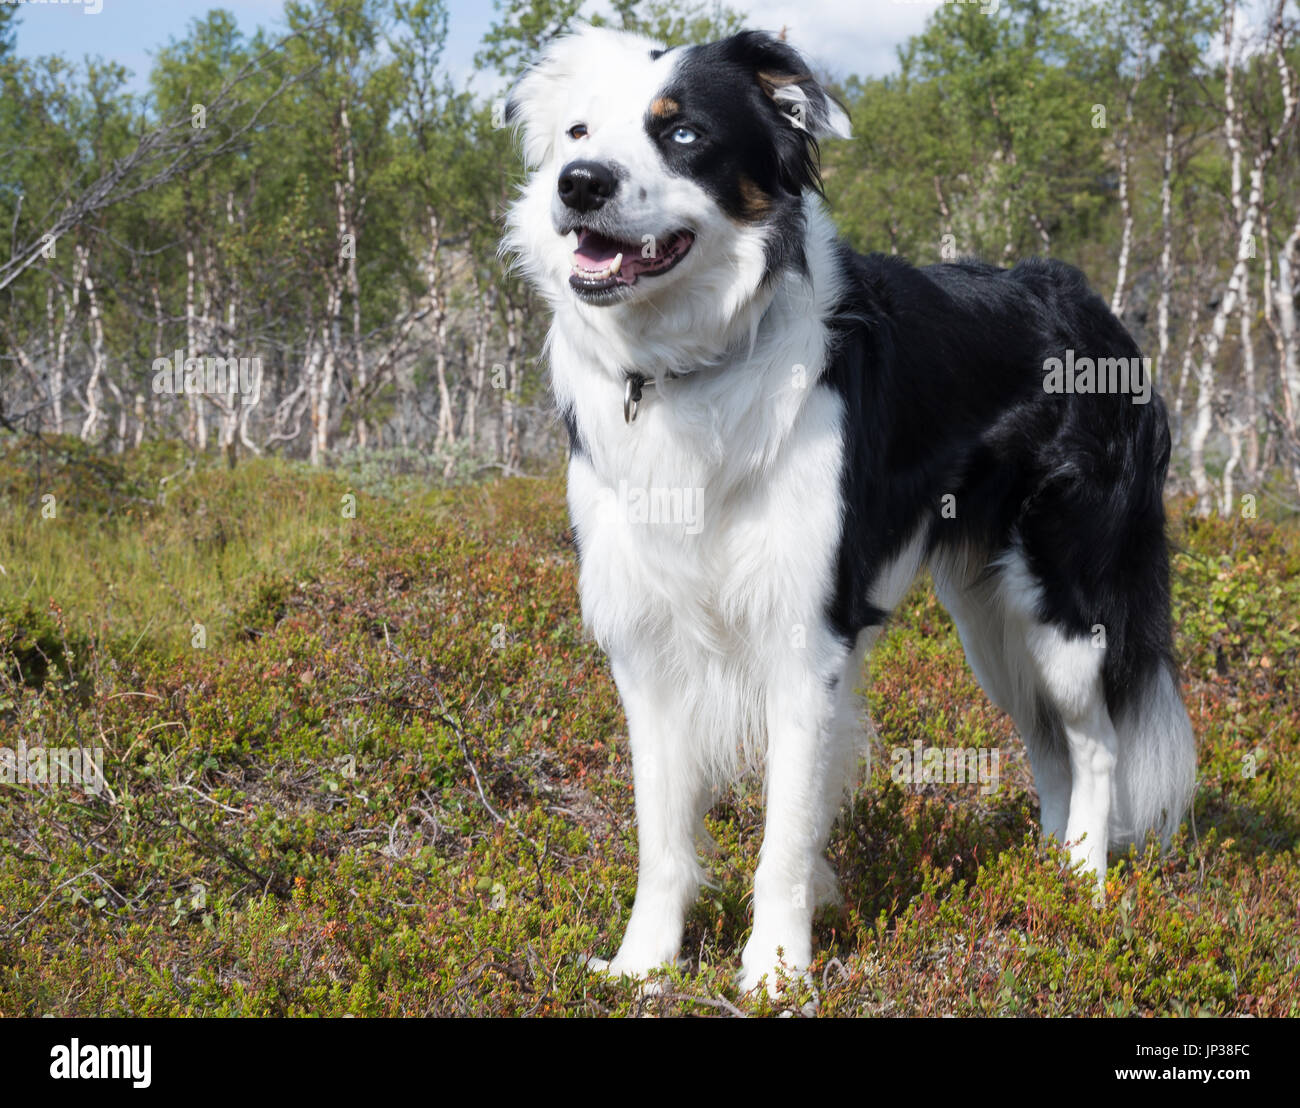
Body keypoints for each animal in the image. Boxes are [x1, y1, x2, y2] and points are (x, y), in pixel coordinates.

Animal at [501, 28, 1190, 993]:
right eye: (576, 132)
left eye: (682, 133)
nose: (580, 184)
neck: (688, 368)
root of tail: (1092, 307)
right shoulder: (646, 641)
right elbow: (661, 831)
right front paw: (644, 967)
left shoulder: (806, 637)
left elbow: (785, 834)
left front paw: (776, 975)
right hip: (984, 618)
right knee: (1046, 743)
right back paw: (1043, 883)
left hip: (1061, 601)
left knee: (1093, 744)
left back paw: (1083, 888)